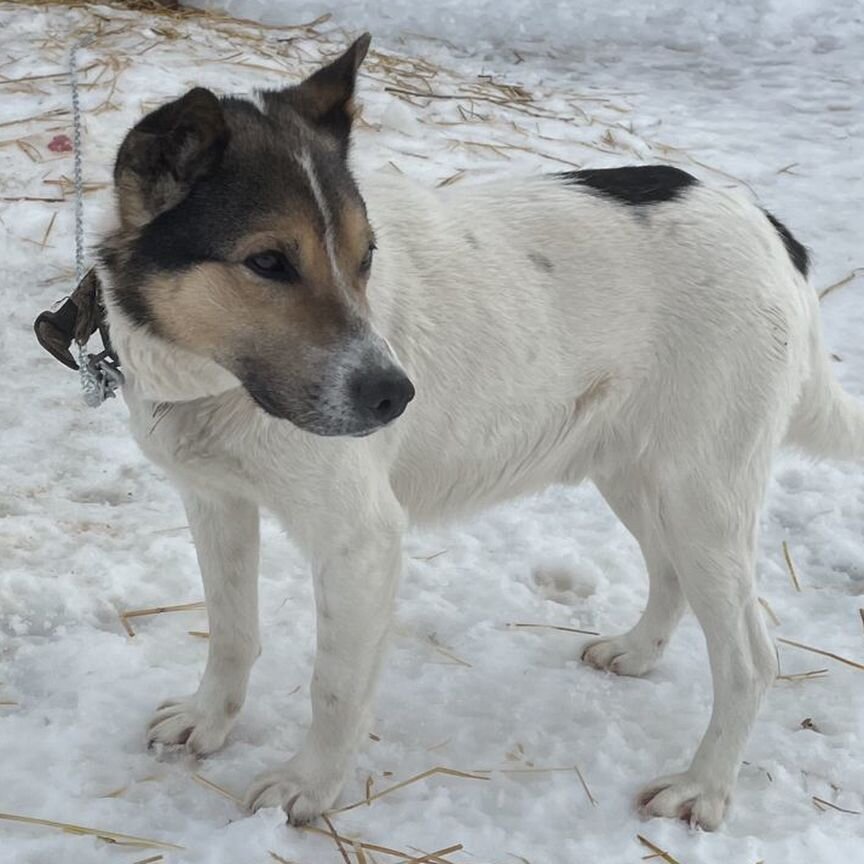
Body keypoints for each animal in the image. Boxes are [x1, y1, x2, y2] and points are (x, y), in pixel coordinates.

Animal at [93, 33, 864, 832]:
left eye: (367, 256)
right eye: (268, 262)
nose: (395, 396)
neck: (216, 382)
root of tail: (767, 226)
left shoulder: (361, 543)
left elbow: (332, 689)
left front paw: (310, 785)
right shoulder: (216, 505)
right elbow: (231, 632)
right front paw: (211, 719)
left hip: (702, 495)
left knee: (751, 659)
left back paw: (703, 789)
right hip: (635, 473)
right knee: (672, 574)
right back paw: (638, 653)